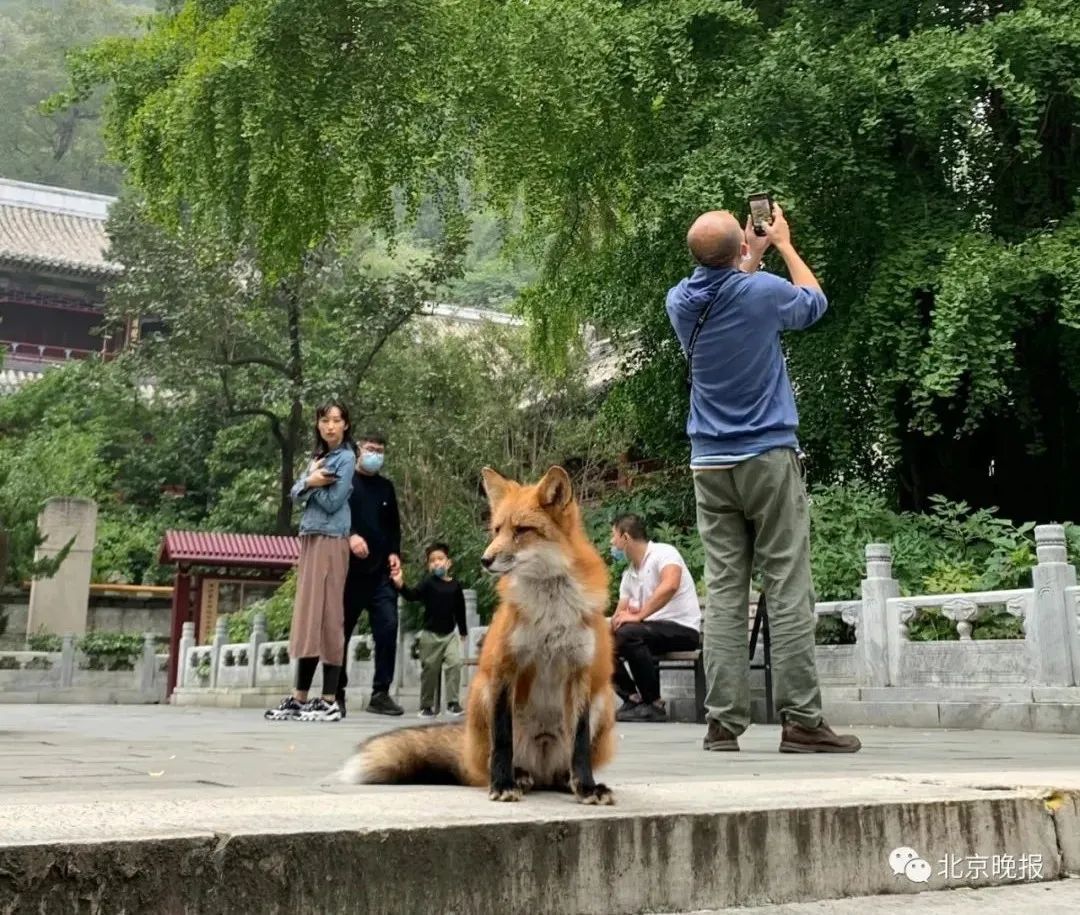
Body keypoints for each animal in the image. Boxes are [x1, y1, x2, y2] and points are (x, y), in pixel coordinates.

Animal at [345, 468, 617, 803]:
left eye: (522, 530)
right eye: (497, 529)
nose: (485, 560)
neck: (550, 609)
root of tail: (542, 770)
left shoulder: (581, 673)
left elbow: (579, 745)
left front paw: (587, 786)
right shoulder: (504, 668)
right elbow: (502, 739)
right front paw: (502, 784)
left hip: (602, 699)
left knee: (561, 770)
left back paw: (568, 781)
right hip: (482, 691)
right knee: (493, 761)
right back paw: (516, 776)